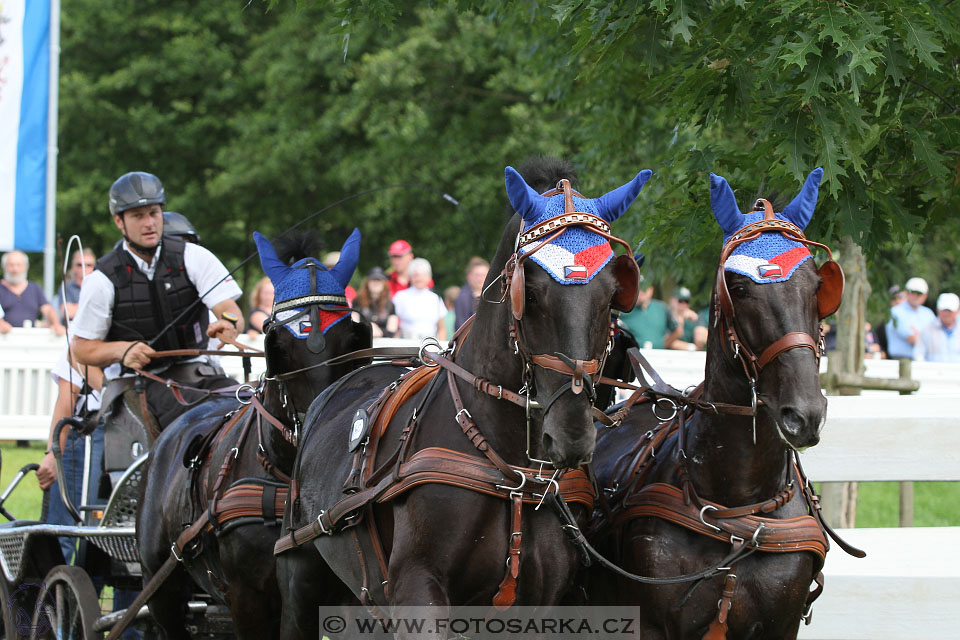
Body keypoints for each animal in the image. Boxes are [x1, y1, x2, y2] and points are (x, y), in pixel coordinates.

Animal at [274, 159, 652, 636]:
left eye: (611, 296)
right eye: (531, 293)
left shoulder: (541, 604)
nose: (571, 434)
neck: (512, 471)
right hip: (300, 574)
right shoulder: (417, 588)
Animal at [576, 168, 864, 636]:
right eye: (740, 287)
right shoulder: (652, 622)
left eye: (818, 286)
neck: (739, 507)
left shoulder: (783, 625)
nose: (804, 414)